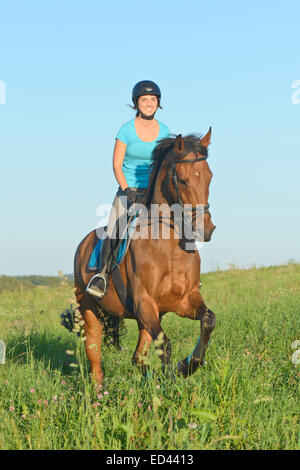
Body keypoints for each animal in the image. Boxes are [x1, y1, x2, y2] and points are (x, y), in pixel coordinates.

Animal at [74, 129, 217, 386]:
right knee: (95, 356)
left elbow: (208, 320)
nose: (206, 229)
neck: (169, 249)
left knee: (138, 357)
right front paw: (173, 380)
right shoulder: (145, 304)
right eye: (182, 180)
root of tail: (83, 243)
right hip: (89, 308)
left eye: (209, 177)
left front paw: (188, 366)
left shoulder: (184, 300)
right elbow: (166, 345)